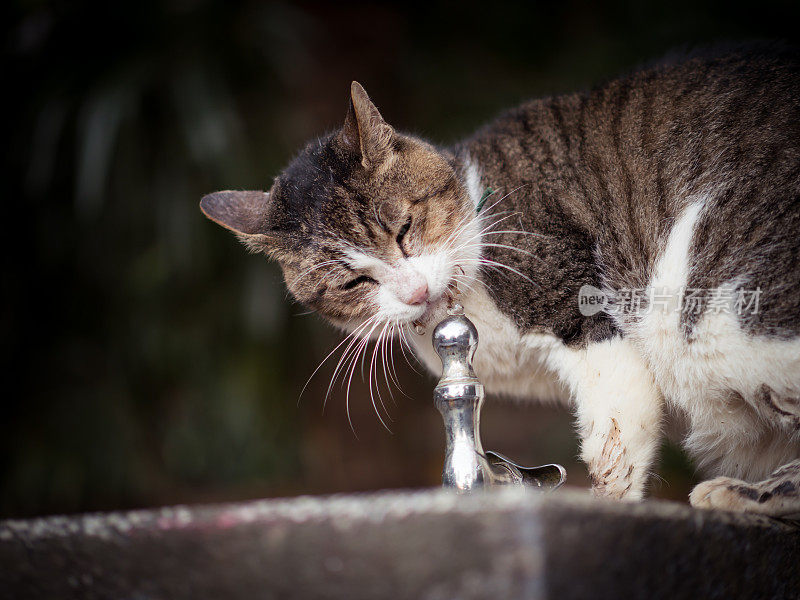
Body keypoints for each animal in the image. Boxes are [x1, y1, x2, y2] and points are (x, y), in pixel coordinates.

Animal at [200, 45, 800, 516]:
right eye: (352, 284)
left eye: (404, 230)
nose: (416, 292)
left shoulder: (580, 314)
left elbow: (616, 432)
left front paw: (608, 504)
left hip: (723, 319)